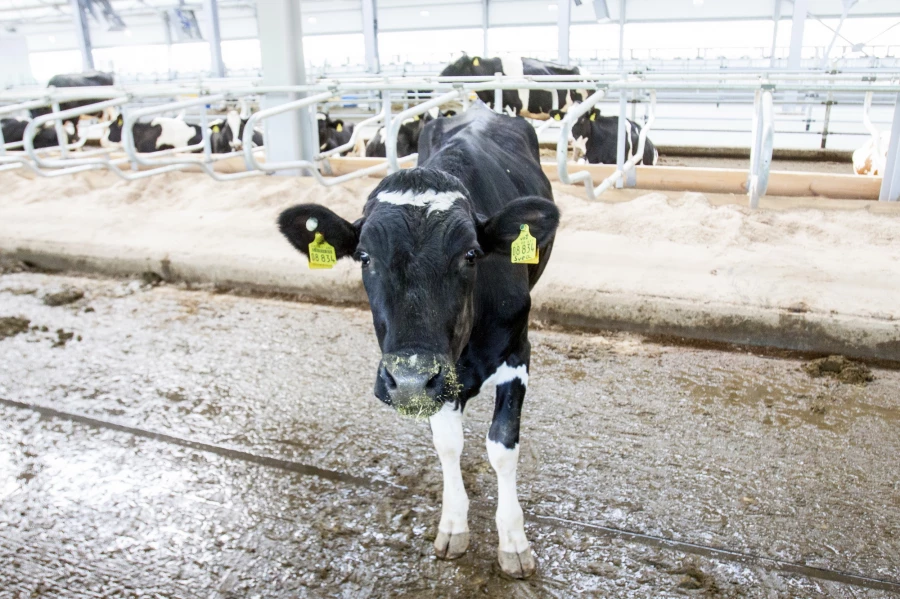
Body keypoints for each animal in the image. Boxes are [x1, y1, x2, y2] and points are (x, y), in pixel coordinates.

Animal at [278, 103, 560, 580]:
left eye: (471, 255)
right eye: (364, 257)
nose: (409, 379)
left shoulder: (517, 352)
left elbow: (503, 445)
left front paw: (514, 542)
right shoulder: (439, 380)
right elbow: (448, 444)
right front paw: (454, 524)